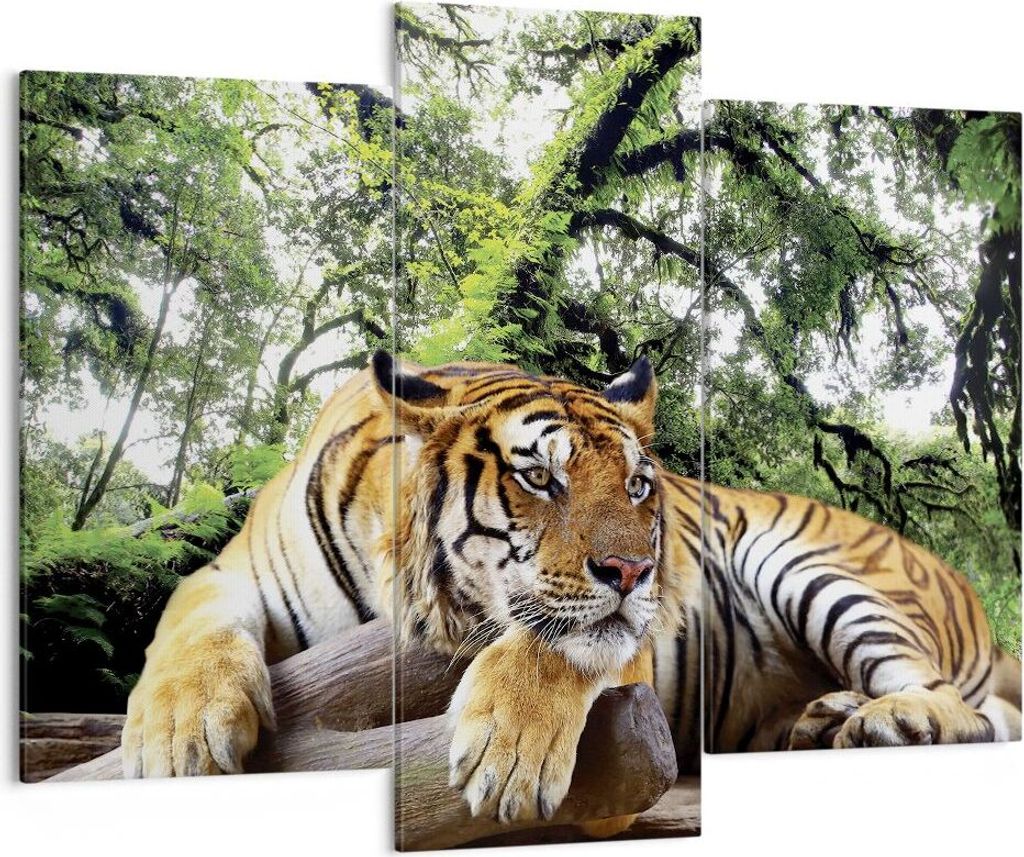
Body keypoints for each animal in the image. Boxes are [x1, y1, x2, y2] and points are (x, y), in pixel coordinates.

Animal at [121, 351, 1021, 825]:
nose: (635, 571)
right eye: (539, 478)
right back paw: (824, 717)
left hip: (814, 567)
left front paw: (508, 752)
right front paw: (179, 734)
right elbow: (188, 626)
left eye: (637, 486)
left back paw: (888, 719)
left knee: (967, 708)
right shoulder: (228, 570)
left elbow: (560, 646)